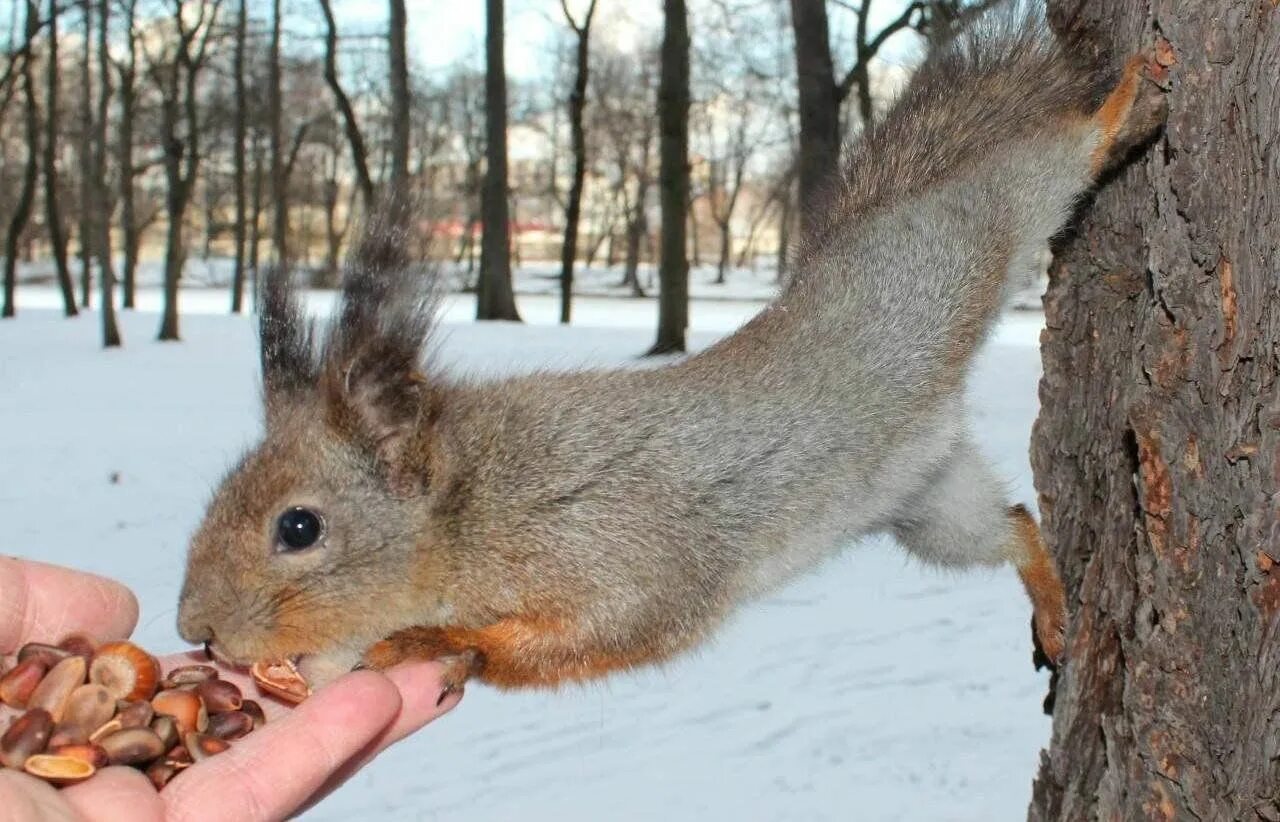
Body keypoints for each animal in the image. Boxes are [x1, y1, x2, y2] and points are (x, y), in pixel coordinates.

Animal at [175, 4, 1167, 696]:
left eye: (298, 528)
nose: (196, 632)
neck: (475, 513)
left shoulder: (620, 552)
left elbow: (602, 634)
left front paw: (433, 641)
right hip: (927, 505)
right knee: (1013, 526)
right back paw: (1052, 607)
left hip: (967, 232)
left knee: (1041, 166)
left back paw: (1125, 104)